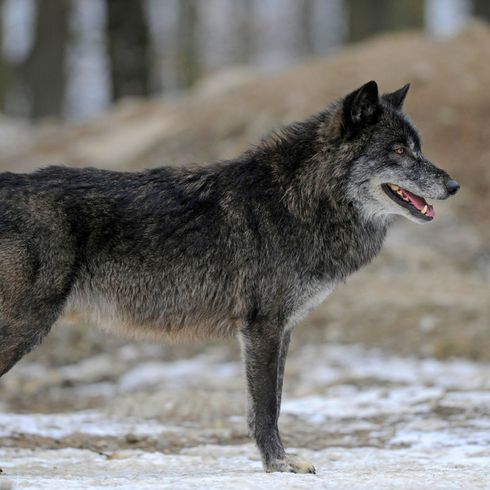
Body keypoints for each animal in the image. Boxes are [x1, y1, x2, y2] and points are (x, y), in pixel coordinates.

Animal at [0, 81, 460, 474]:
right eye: (398, 150)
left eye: (418, 148)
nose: (454, 185)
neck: (301, 200)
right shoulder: (262, 327)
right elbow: (265, 406)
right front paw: (278, 465)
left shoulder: (282, 329)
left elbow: (274, 401)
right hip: (24, 328)